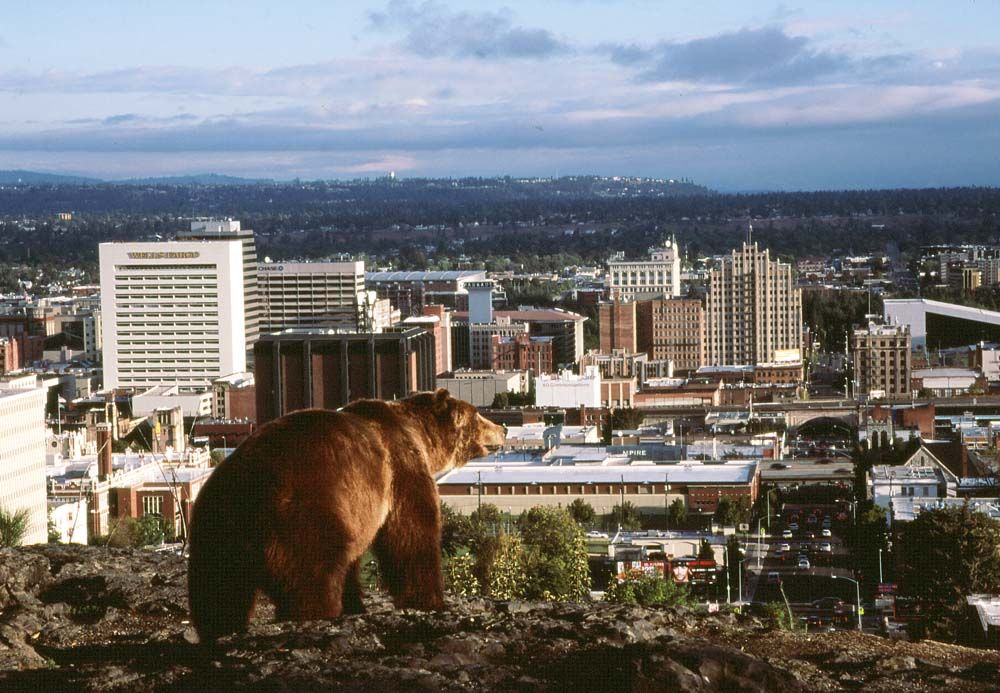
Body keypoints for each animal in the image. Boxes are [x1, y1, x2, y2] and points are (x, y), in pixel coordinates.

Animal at [187, 388, 506, 642]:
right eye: (478, 415)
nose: (503, 429)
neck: (419, 435)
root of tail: (245, 493)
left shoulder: (358, 506)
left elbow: (355, 560)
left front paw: (356, 603)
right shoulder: (400, 468)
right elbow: (412, 533)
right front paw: (430, 600)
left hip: (214, 529)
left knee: (219, 590)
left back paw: (219, 628)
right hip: (304, 515)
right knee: (311, 575)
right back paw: (316, 613)